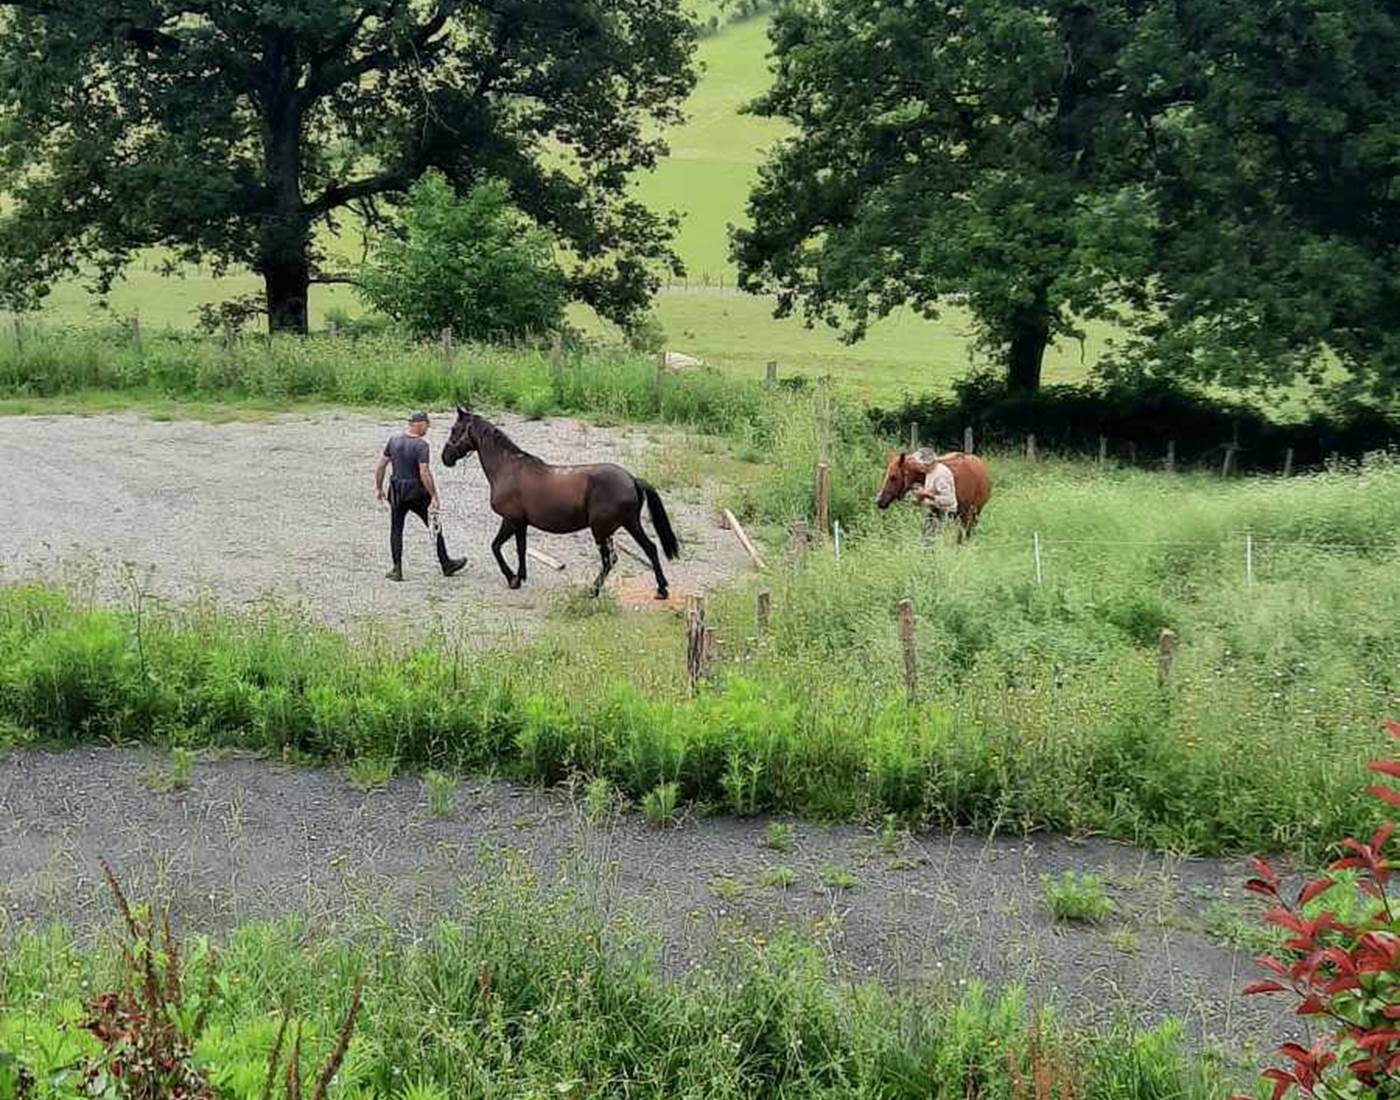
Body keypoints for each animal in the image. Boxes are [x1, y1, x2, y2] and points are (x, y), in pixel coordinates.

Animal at [441, 407, 679, 598]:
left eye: (454, 429)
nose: (445, 457)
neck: (507, 468)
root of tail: (631, 479)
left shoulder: (510, 519)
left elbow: (496, 546)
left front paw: (512, 578)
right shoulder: (521, 523)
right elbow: (520, 548)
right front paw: (521, 576)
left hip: (602, 530)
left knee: (609, 560)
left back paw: (593, 591)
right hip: (629, 524)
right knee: (650, 549)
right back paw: (661, 589)